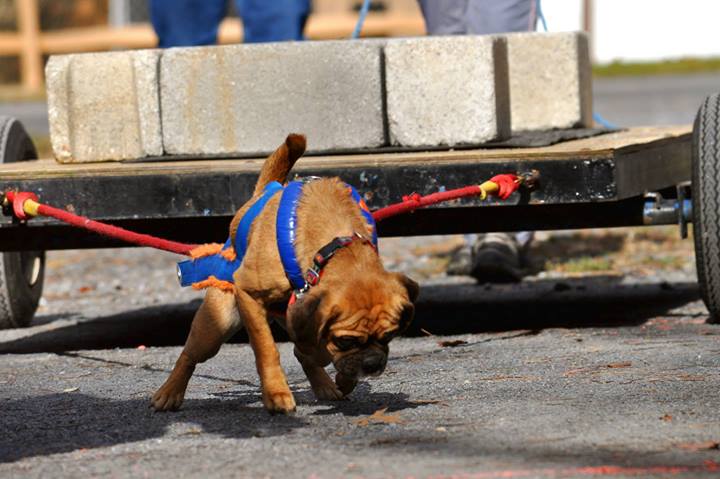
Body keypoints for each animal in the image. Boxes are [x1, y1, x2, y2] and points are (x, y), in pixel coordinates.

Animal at [155, 134, 420, 412]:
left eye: (389, 336)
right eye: (345, 341)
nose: (372, 364)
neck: (336, 245)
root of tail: (263, 191)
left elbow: (318, 353)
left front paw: (343, 380)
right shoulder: (249, 296)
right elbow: (267, 349)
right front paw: (276, 393)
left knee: (302, 352)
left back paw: (325, 385)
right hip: (218, 325)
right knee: (189, 355)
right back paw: (169, 392)